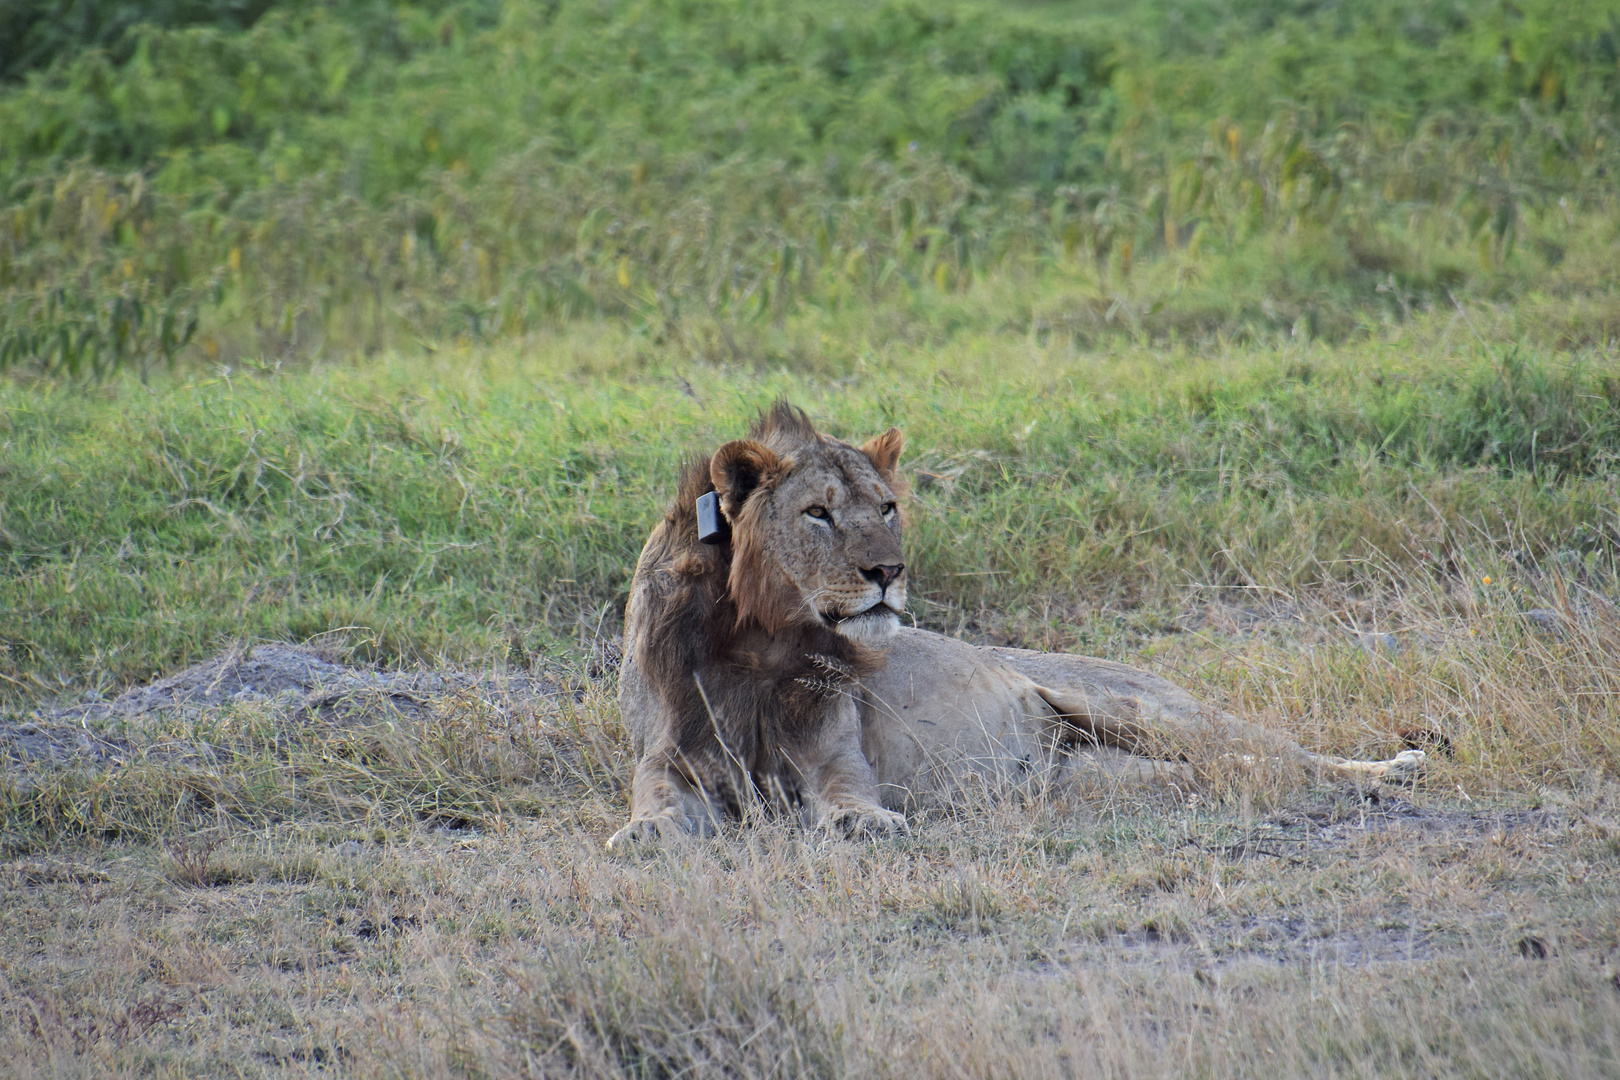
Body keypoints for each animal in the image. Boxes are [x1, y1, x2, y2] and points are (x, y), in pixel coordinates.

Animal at [609, 401, 1419, 848]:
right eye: (817, 513)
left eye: (888, 507)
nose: (889, 572)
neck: (761, 640)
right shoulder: (669, 752)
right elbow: (654, 794)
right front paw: (645, 830)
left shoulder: (837, 752)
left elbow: (845, 793)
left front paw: (863, 823)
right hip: (1098, 778)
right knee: (1231, 770)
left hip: (1145, 709)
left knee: (1286, 755)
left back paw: (1394, 769)